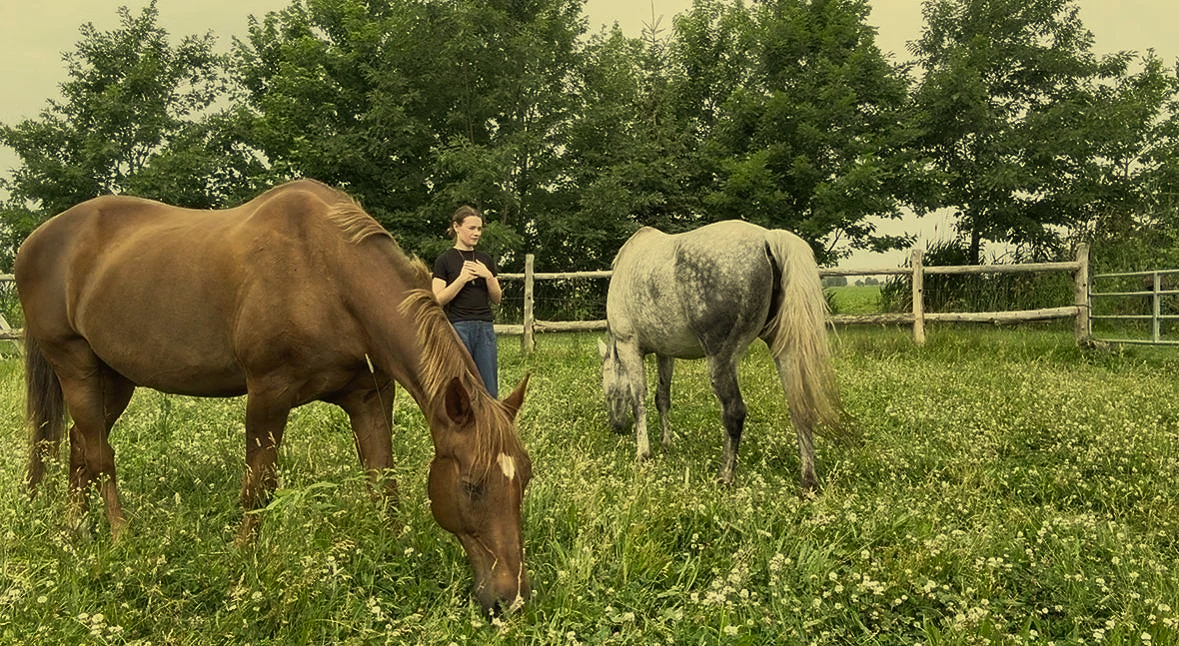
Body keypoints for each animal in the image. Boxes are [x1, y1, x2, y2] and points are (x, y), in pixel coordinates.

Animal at [15, 179, 532, 615]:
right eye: (472, 485)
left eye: (523, 481)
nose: (510, 599)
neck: (328, 274)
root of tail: (34, 241)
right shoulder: (268, 392)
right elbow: (260, 484)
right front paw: (242, 559)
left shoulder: (369, 396)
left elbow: (382, 479)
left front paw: (394, 551)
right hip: (75, 364)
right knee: (99, 454)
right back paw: (119, 537)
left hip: (114, 379)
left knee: (81, 446)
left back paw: (76, 531)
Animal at [598, 220, 845, 491]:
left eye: (608, 391)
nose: (615, 426)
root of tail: (767, 238)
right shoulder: (665, 353)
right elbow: (662, 398)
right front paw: (666, 443)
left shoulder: (629, 346)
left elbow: (638, 399)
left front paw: (643, 453)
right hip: (785, 351)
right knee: (799, 406)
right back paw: (808, 479)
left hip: (721, 358)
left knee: (734, 411)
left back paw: (725, 475)